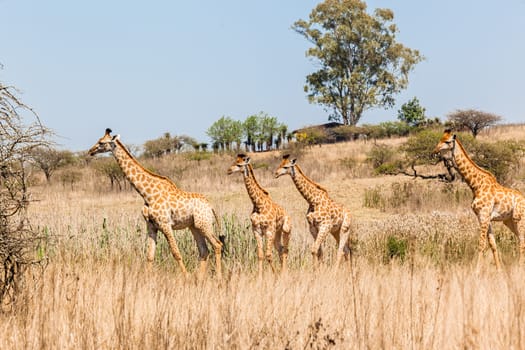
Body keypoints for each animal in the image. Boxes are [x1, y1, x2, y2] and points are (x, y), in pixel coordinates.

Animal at [88, 129, 223, 278]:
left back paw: (218, 277)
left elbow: (176, 253)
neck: (147, 194)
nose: (90, 151)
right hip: (194, 226)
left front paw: (186, 277)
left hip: (203, 223)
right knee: (204, 250)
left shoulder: (165, 224)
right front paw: (147, 278)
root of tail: (210, 206)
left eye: (101, 142)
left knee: (217, 245)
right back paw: (199, 278)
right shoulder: (151, 226)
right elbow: (150, 256)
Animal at [432, 130, 524, 270]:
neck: (475, 185)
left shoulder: (484, 215)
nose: (434, 152)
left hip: (519, 219)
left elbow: (481, 244)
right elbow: (492, 244)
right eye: (440, 139)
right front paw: (499, 270)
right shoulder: (484, 217)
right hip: (509, 221)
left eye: (447, 141)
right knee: (520, 239)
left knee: (522, 241)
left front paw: (476, 271)